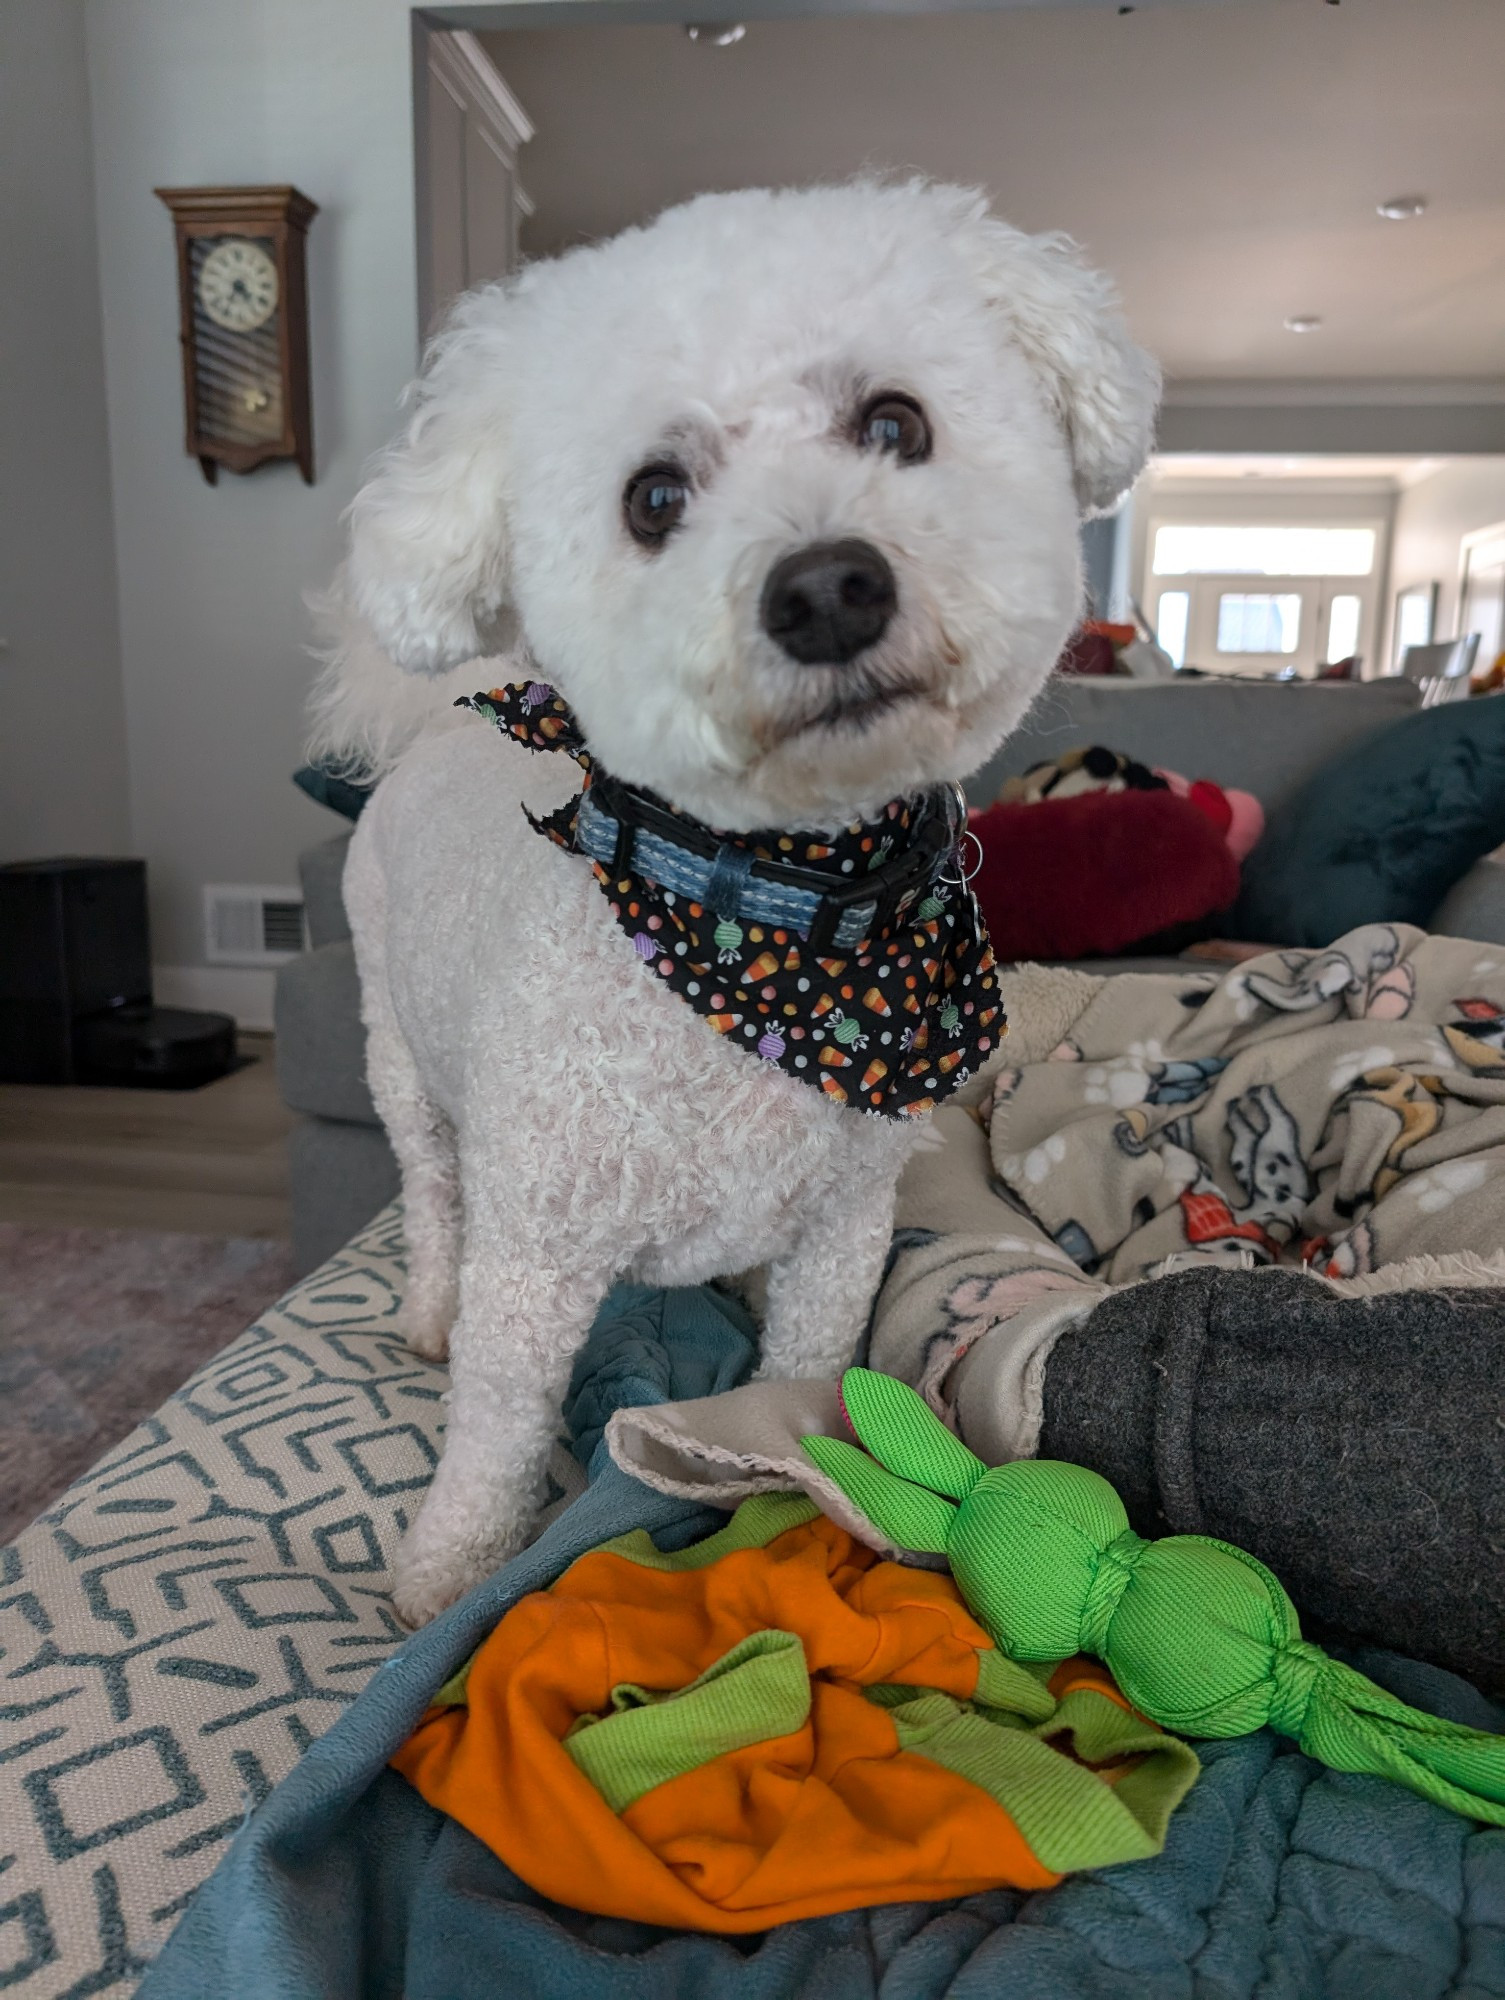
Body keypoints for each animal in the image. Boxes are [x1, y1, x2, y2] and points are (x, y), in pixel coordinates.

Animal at [324, 180, 1160, 1624]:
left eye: (895, 424)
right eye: (654, 498)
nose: (827, 587)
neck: (772, 920)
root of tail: (438, 716)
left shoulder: (840, 1237)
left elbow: (803, 1372)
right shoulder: (534, 1258)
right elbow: (492, 1430)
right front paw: (449, 1571)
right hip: (398, 1054)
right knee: (430, 1190)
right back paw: (426, 1302)